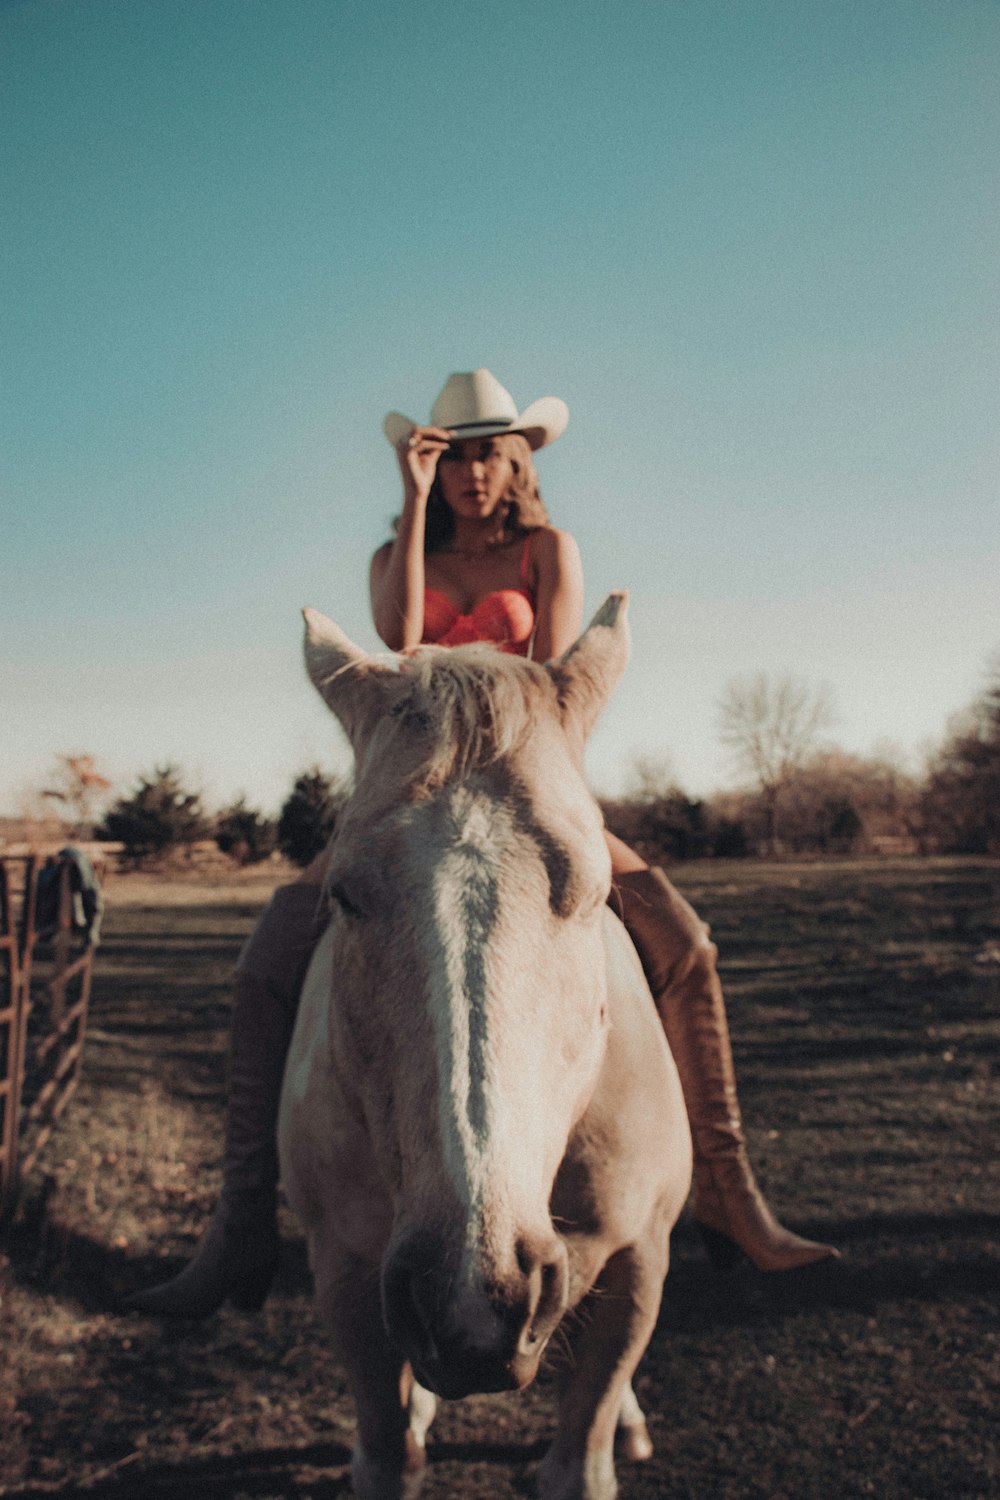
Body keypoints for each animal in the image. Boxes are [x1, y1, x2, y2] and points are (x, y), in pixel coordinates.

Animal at [277, 597, 692, 1500]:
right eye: (344, 893)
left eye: (594, 890)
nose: (470, 1300)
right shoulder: (346, 1275)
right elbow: (385, 1451)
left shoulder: (641, 1260)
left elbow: (585, 1447)